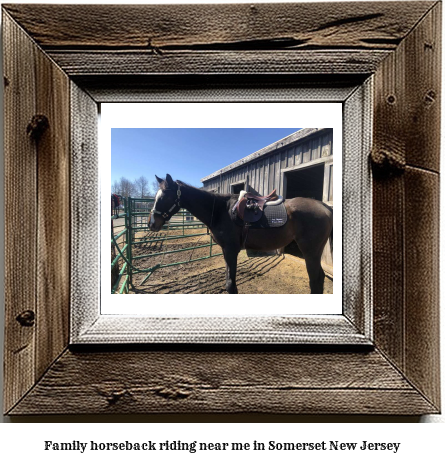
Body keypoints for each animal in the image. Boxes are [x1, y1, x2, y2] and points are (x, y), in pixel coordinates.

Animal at [147, 174, 332, 294]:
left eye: (164, 197)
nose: (151, 223)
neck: (221, 210)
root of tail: (324, 207)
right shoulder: (226, 251)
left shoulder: (231, 250)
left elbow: (231, 286)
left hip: (310, 251)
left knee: (315, 280)